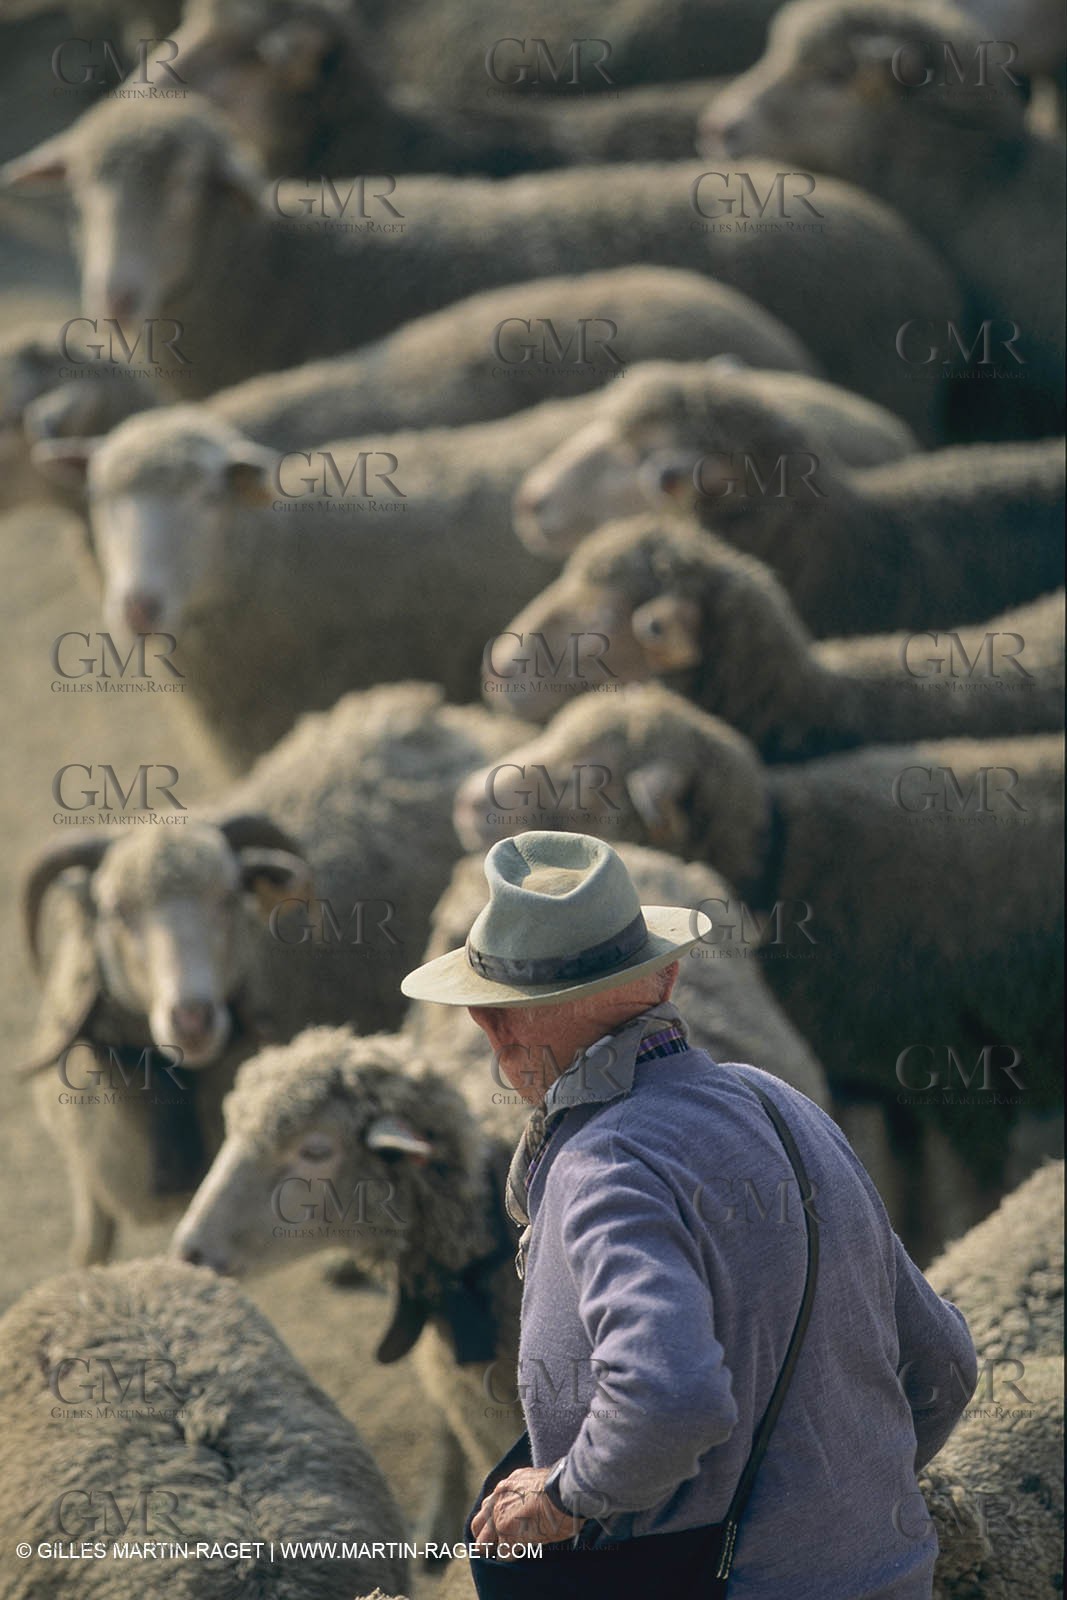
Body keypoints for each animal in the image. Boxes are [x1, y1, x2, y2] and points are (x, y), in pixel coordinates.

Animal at [20, 683, 528, 1264]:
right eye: (115, 910)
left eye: (228, 897)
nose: (192, 1018)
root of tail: (420, 706)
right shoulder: (91, 1180)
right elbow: (89, 1253)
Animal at [453, 686, 1064, 1259]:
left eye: (591, 777)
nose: (467, 800)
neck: (782, 863)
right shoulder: (892, 1081)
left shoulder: (958, 1067)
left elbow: (971, 1197)